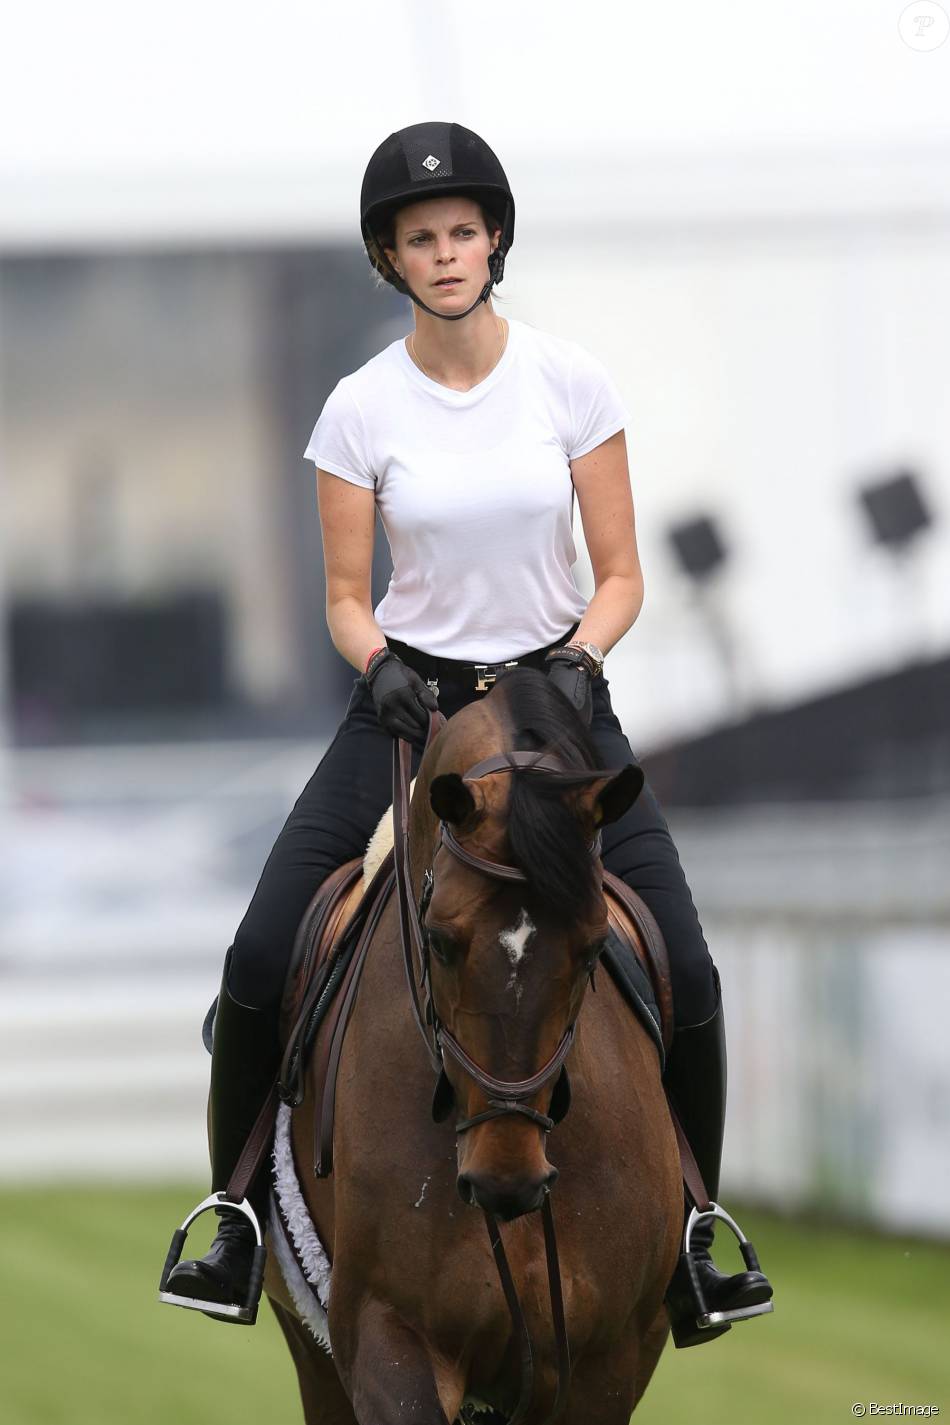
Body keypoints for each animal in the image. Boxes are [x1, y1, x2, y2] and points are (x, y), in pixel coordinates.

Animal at [263, 669, 686, 1425]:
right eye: (438, 939)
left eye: (592, 948)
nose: (505, 1180)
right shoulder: (387, 1337)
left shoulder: (607, 1362)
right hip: (313, 1348)